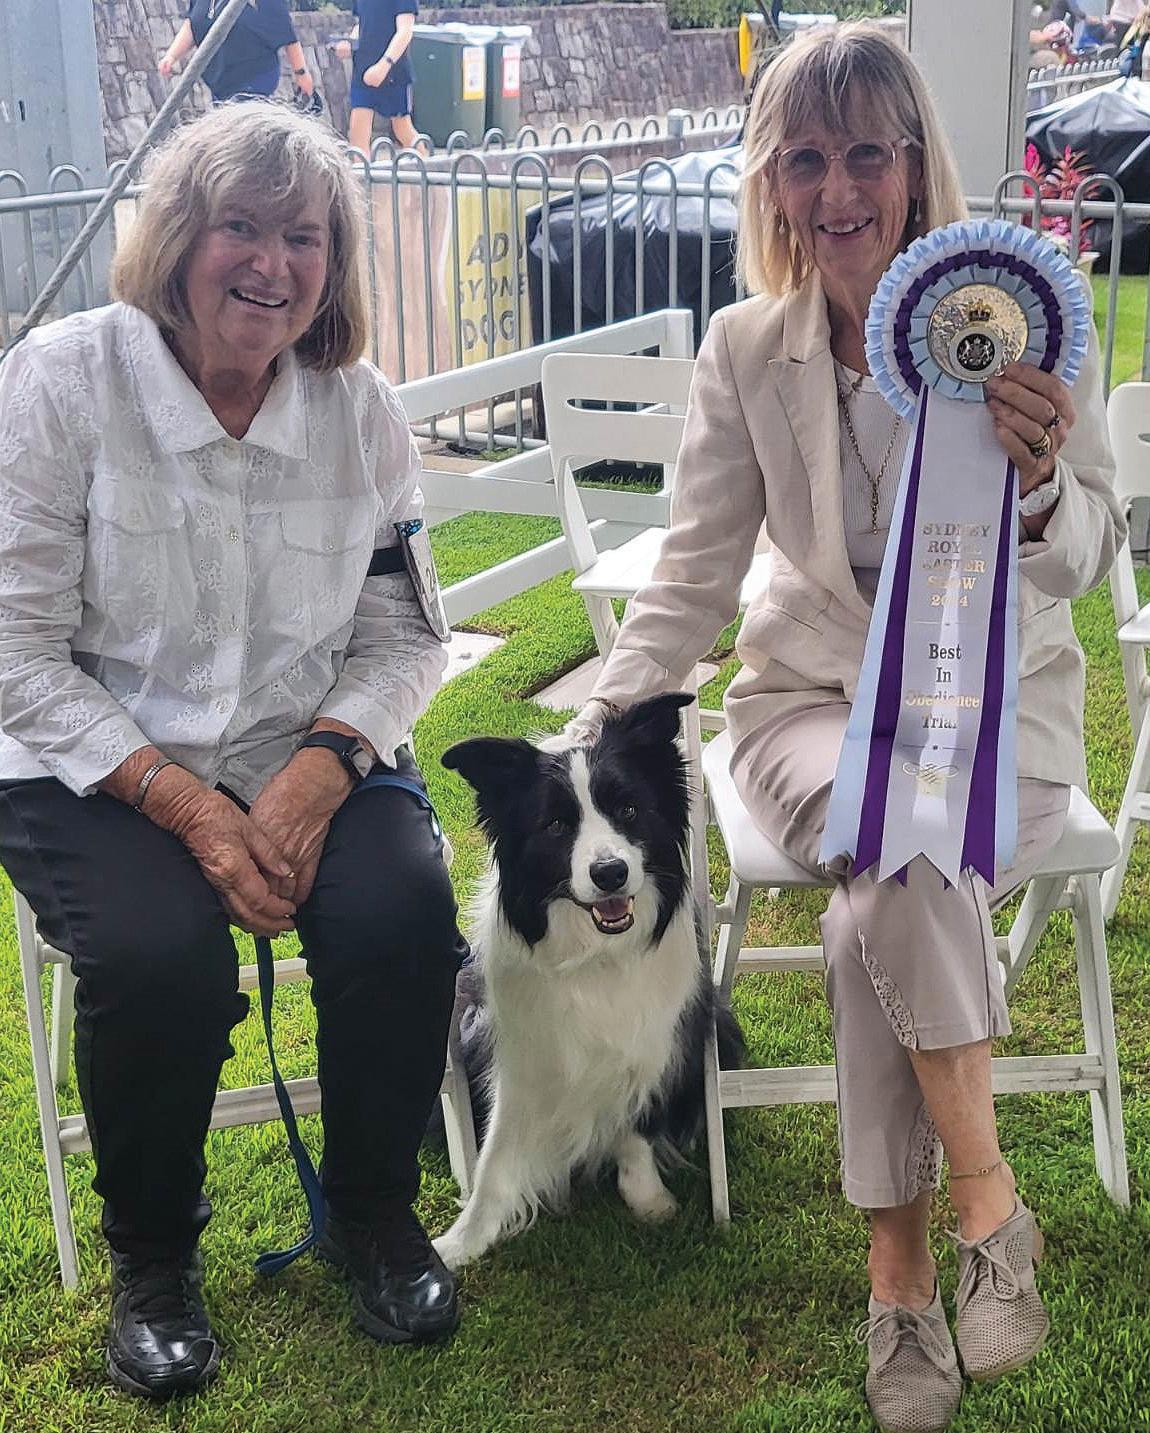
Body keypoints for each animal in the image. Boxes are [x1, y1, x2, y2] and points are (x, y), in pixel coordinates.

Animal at [433, 692, 743, 1270]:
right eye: (556, 825)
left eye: (628, 810)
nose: (610, 873)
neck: (597, 957)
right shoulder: (522, 1054)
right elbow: (495, 1156)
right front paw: (461, 1242)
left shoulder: (653, 1043)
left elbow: (636, 1125)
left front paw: (648, 1198)